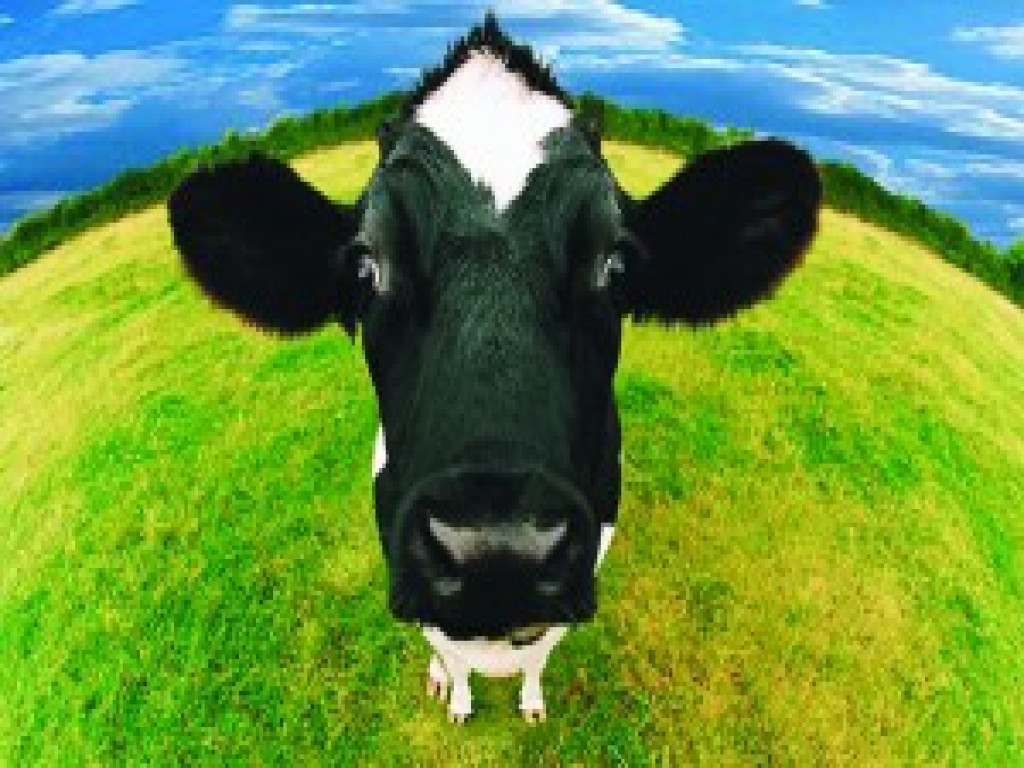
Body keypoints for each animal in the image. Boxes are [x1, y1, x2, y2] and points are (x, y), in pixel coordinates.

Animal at [167, 14, 821, 723]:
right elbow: (450, 653)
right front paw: (456, 697)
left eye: (616, 264)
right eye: (366, 267)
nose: (497, 552)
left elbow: (540, 654)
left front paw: (529, 700)